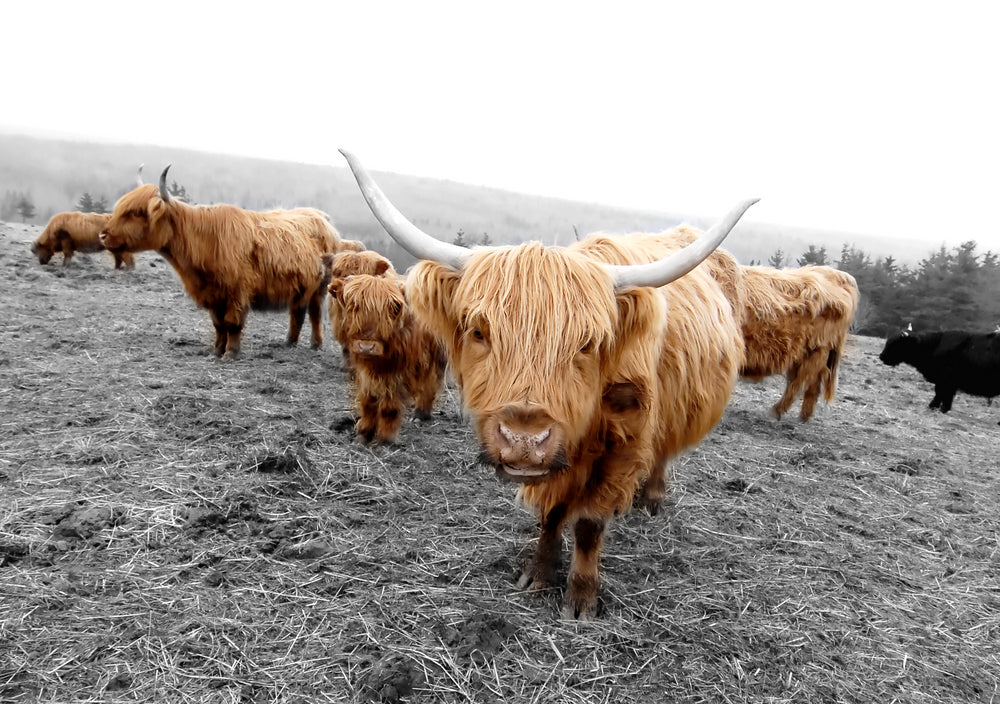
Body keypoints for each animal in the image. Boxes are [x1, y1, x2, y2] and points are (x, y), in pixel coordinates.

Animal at [99, 166, 346, 358]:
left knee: (314, 314)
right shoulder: (212, 294)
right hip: (299, 286)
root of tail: (321, 216)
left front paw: (230, 353)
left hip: (319, 288)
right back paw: (289, 342)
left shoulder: (237, 291)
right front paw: (216, 351)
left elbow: (232, 323)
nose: (102, 234)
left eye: (135, 213)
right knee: (297, 312)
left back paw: (315, 345)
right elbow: (218, 325)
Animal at [340, 151, 752, 620]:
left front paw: (581, 597)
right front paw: (537, 575)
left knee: (664, 452)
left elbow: (589, 523)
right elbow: (552, 514)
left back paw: (651, 498)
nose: (524, 438)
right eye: (479, 332)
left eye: (587, 343)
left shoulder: (622, 443)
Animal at [736, 264, 860, 418]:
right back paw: (803, 416)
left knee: (800, 382)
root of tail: (840, 275)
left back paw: (778, 411)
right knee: (810, 384)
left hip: (818, 351)